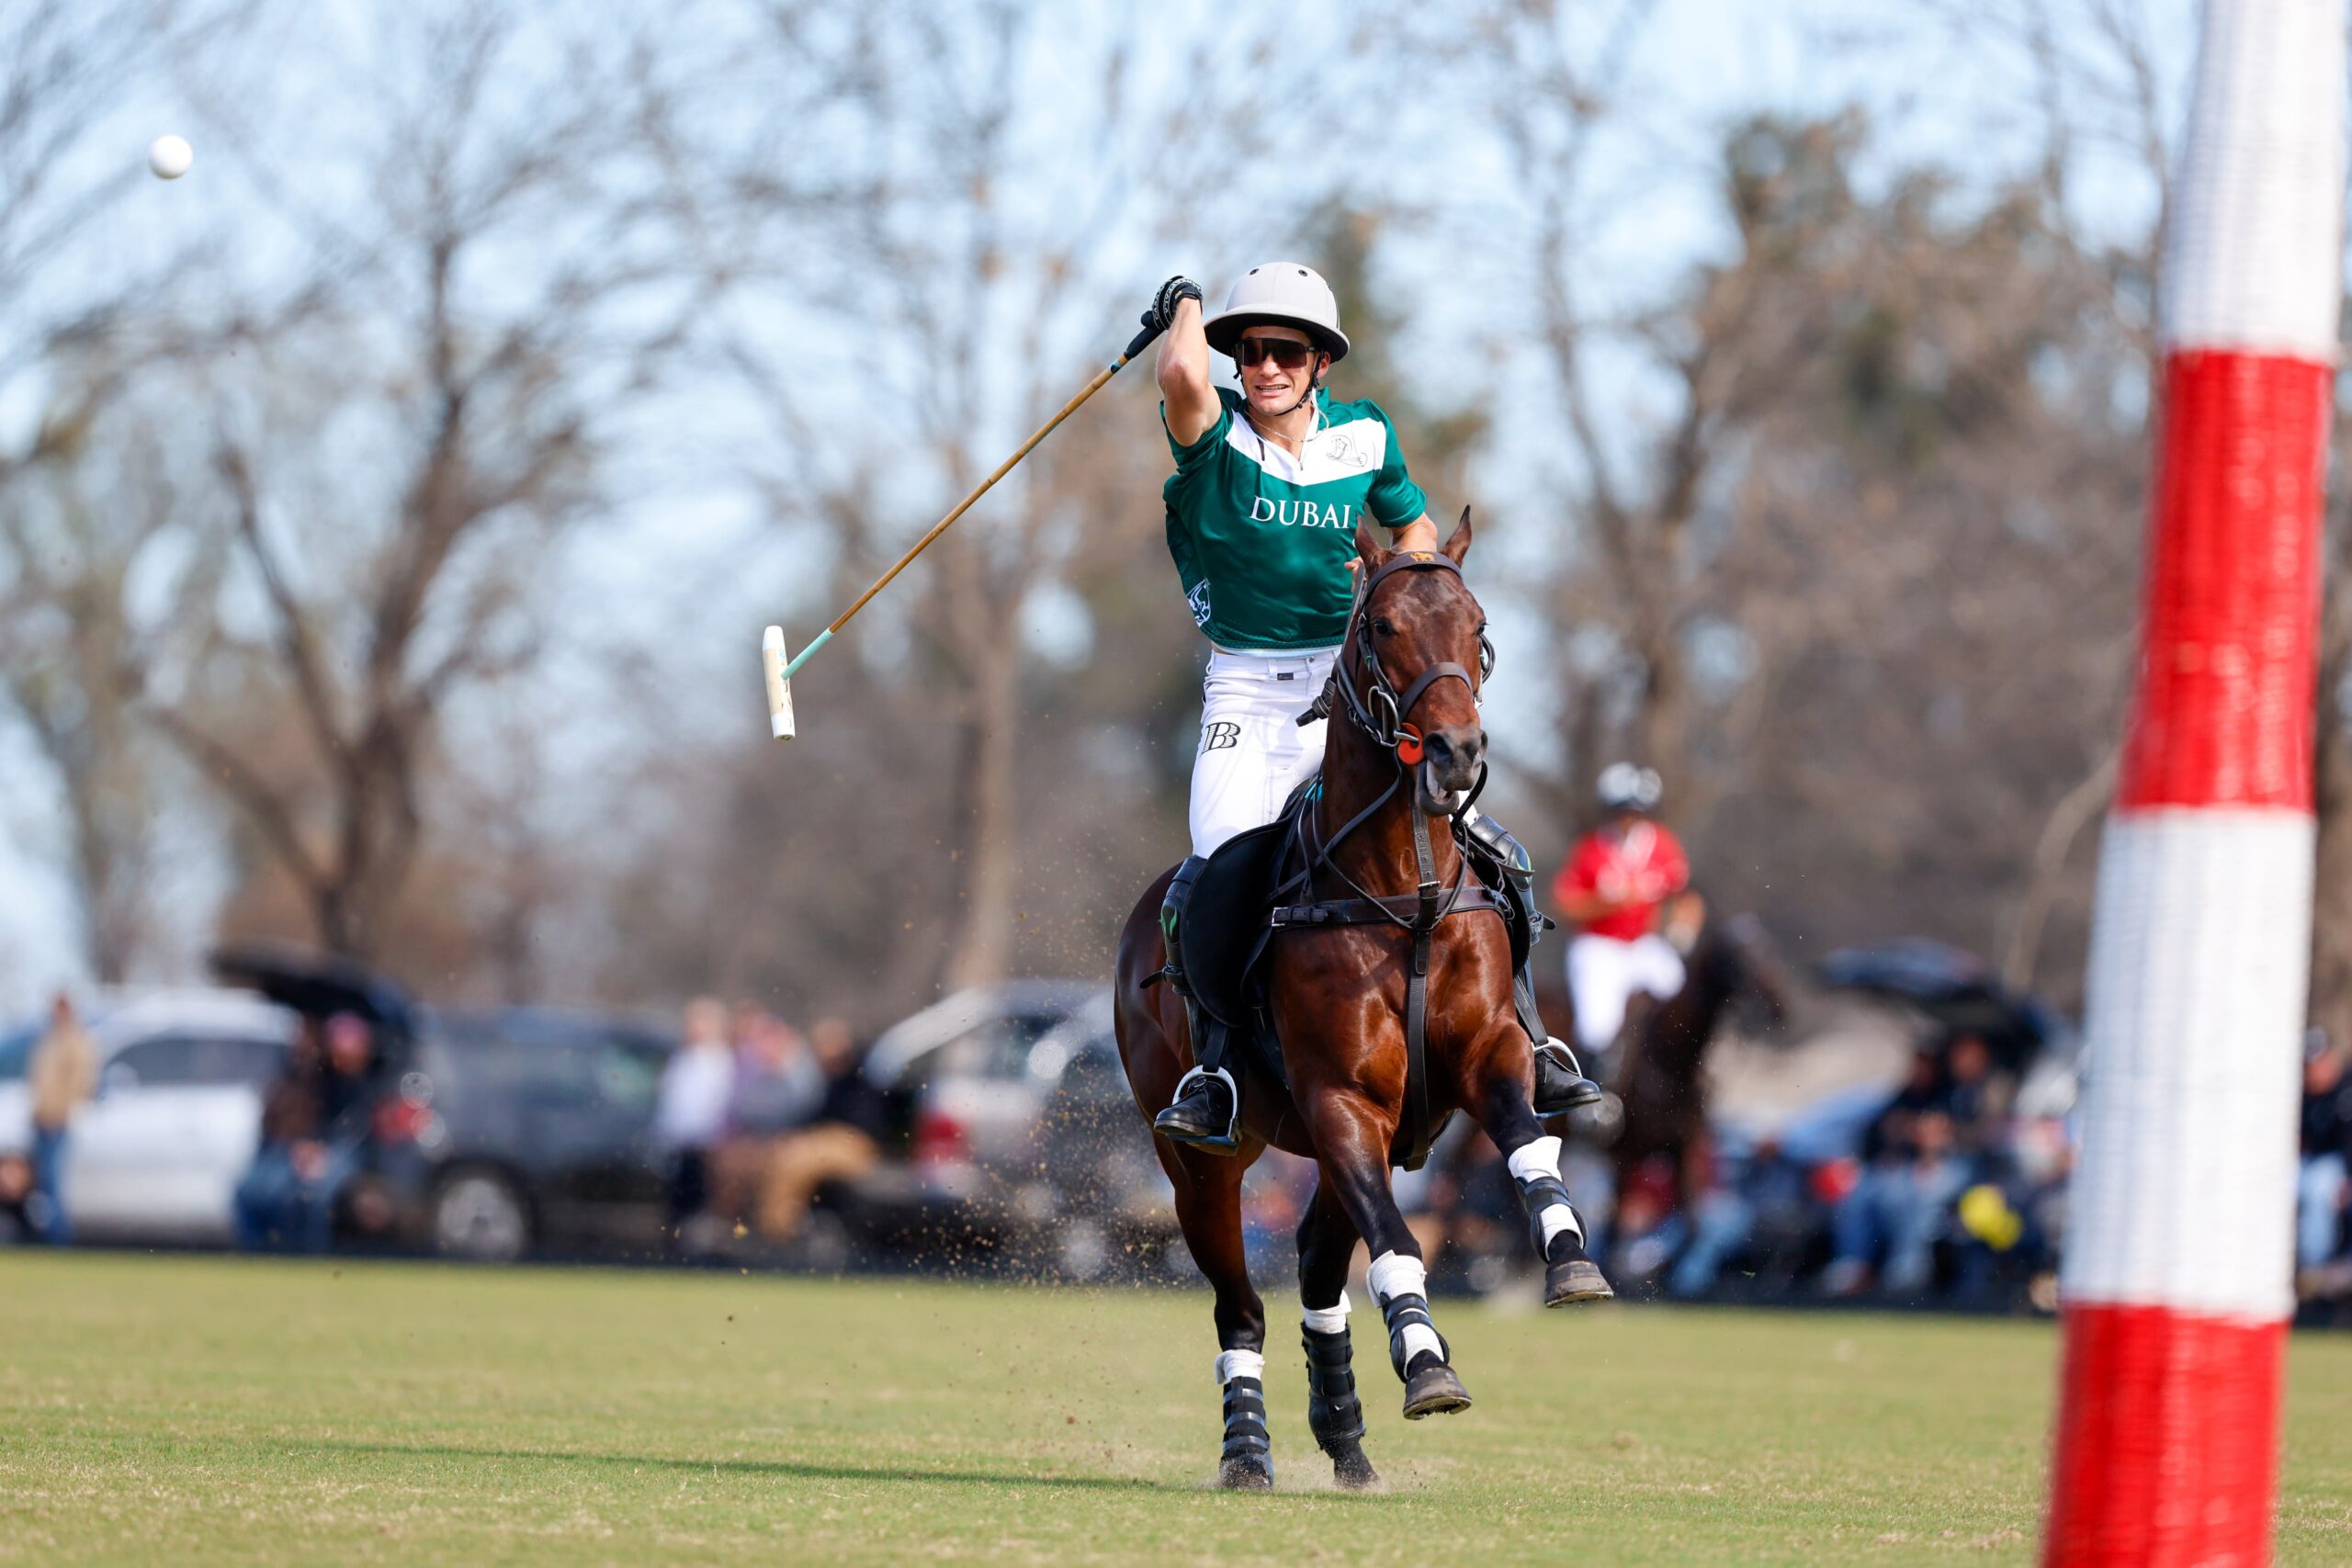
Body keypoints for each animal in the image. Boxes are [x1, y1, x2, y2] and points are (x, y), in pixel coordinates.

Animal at [1110, 517, 1609, 1495]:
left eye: (1478, 624)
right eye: (1381, 626)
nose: (1457, 752)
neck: (1405, 893)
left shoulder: (1483, 1055)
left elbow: (1528, 1143)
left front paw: (1571, 1262)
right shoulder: (1342, 1097)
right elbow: (1397, 1240)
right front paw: (1428, 1364)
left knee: (1313, 1268)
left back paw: (1344, 1435)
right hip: (1199, 1161)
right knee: (1242, 1306)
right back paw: (1248, 1449)